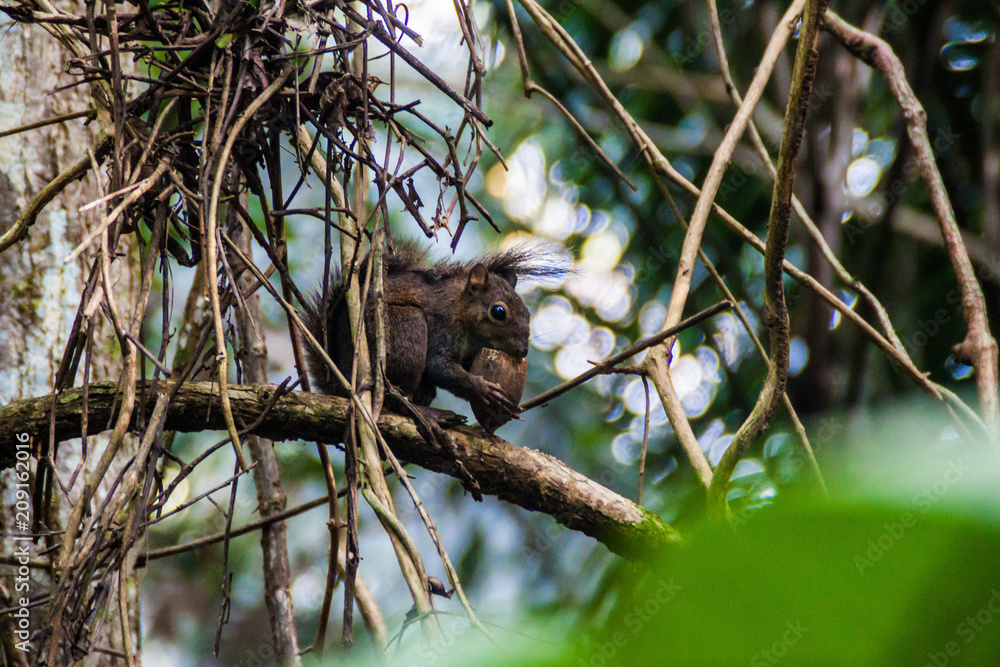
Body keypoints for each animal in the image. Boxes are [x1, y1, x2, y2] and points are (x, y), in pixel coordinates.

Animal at [304, 243, 564, 430]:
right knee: (397, 401)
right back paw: (429, 414)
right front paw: (483, 389)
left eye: (527, 312)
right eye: (499, 312)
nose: (523, 350)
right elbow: (439, 366)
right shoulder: (443, 324)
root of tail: (343, 376)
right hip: (406, 328)